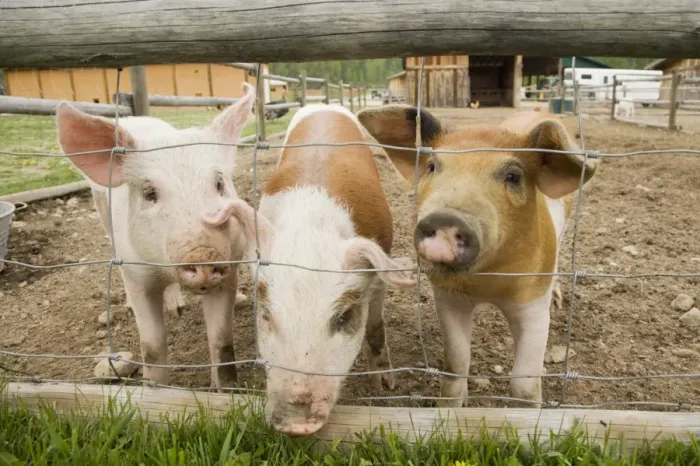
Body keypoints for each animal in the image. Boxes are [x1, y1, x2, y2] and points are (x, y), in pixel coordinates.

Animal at [55, 83, 256, 389]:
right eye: (150, 193)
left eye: (219, 183)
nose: (203, 253)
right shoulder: (137, 274)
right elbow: (152, 344)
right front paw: (155, 388)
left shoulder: (230, 268)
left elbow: (221, 339)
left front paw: (224, 390)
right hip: (102, 213)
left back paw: (177, 309)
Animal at [224, 105, 416, 436]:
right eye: (266, 315)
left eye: (345, 317)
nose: (294, 424)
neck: (312, 222)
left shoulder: (380, 269)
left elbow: (375, 328)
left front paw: (385, 386)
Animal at [357, 106, 598, 407]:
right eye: (432, 166)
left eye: (513, 176)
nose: (447, 217)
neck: (486, 282)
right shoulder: (448, 298)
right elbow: (456, 364)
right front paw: (452, 408)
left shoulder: (534, 302)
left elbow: (525, 382)